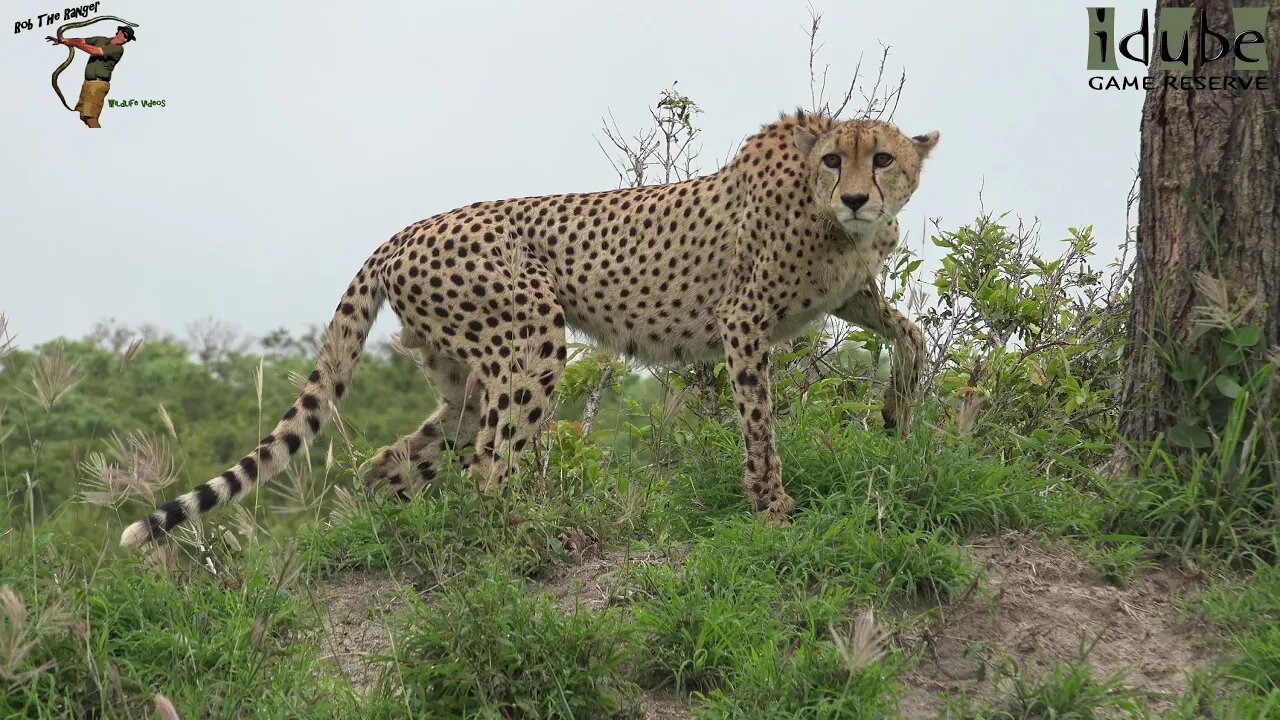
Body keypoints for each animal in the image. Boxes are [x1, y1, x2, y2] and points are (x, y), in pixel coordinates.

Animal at [120, 109, 936, 543]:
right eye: (833, 160)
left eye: (882, 158)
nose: (857, 198)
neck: (829, 219)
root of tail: (400, 234)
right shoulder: (742, 320)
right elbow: (760, 420)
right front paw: (771, 505)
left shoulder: (848, 297)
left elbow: (911, 334)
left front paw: (897, 415)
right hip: (534, 336)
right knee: (493, 463)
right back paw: (530, 532)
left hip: (464, 377)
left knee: (401, 456)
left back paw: (403, 529)